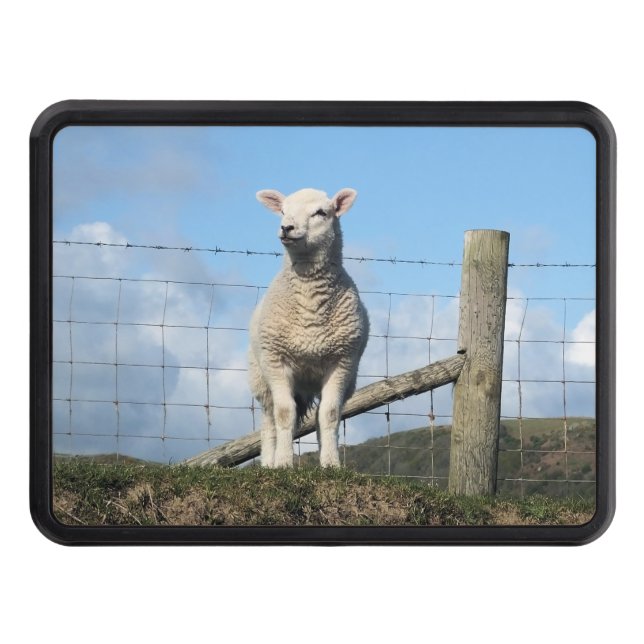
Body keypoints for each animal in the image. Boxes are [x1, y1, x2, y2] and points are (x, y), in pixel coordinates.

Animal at [248, 187, 369, 468]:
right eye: (283, 211)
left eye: (320, 213)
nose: (286, 227)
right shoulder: (276, 360)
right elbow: (284, 414)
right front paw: (283, 463)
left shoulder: (342, 362)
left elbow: (330, 414)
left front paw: (331, 464)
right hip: (261, 377)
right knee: (269, 421)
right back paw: (268, 462)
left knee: (319, 416)